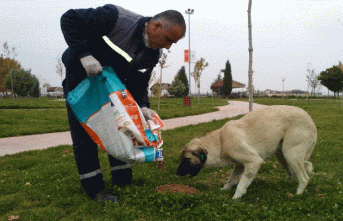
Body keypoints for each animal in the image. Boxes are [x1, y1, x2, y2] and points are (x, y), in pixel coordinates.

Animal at [177, 104, 318, 199]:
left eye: (186, 159)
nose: (177, 173)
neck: (220, 141)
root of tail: (311, 120)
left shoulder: (253, 162)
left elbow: (241, 184)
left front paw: (235, 198)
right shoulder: (239, 165)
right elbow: (231, 179)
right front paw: (224, 189)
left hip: (291, 154)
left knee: (304, 178)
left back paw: (297, 195)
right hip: (282, 154)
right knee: (291, 173)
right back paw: (285, 186)